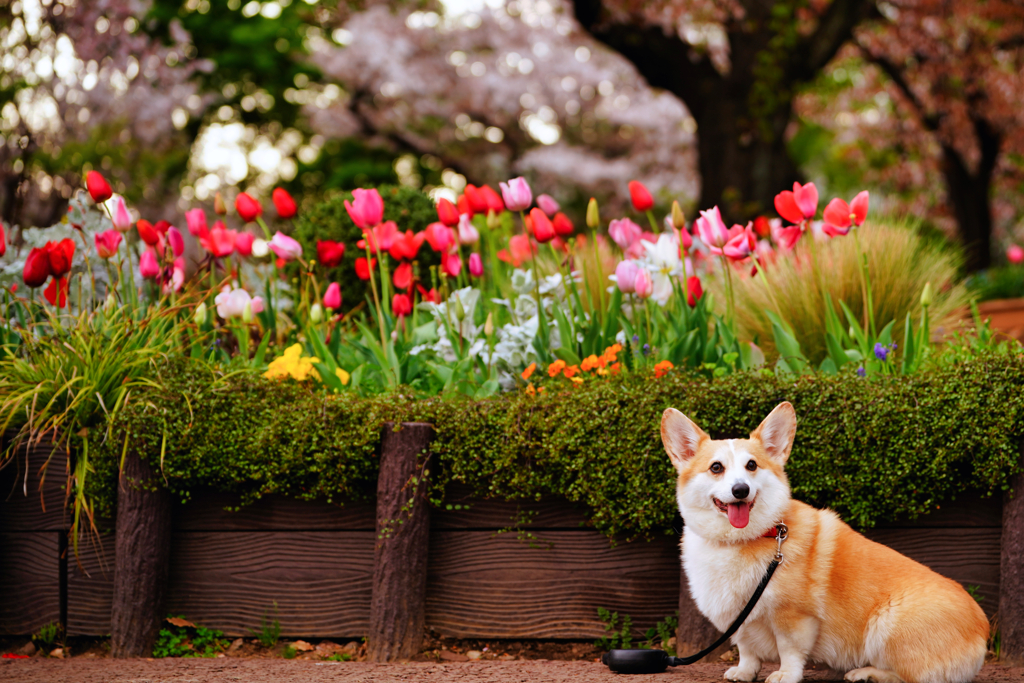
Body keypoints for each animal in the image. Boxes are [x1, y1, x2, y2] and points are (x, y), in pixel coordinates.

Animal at [659, 401, 987, 683]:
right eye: (716, 468)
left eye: (752, 466)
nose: (741, 490)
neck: (743, 540)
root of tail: (982, 630)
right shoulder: (742, 621)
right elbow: (747, 650)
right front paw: (744, 672)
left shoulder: (793, 617)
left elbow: (789, 651)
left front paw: (785, 675)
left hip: (885, 625)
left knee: (908, 676)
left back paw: (866, 673)